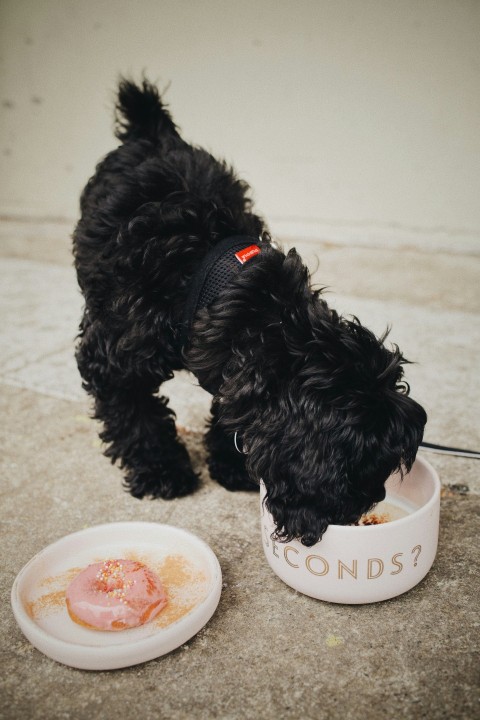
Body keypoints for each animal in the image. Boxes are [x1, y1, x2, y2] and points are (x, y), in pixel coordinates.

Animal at [73, 79, 426, 544]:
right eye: (355, 472)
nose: (364, 508)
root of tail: (153, 130)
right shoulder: (111, 359)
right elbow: (135, 414)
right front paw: (161, 470)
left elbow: (231, 408)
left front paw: (231, 462)